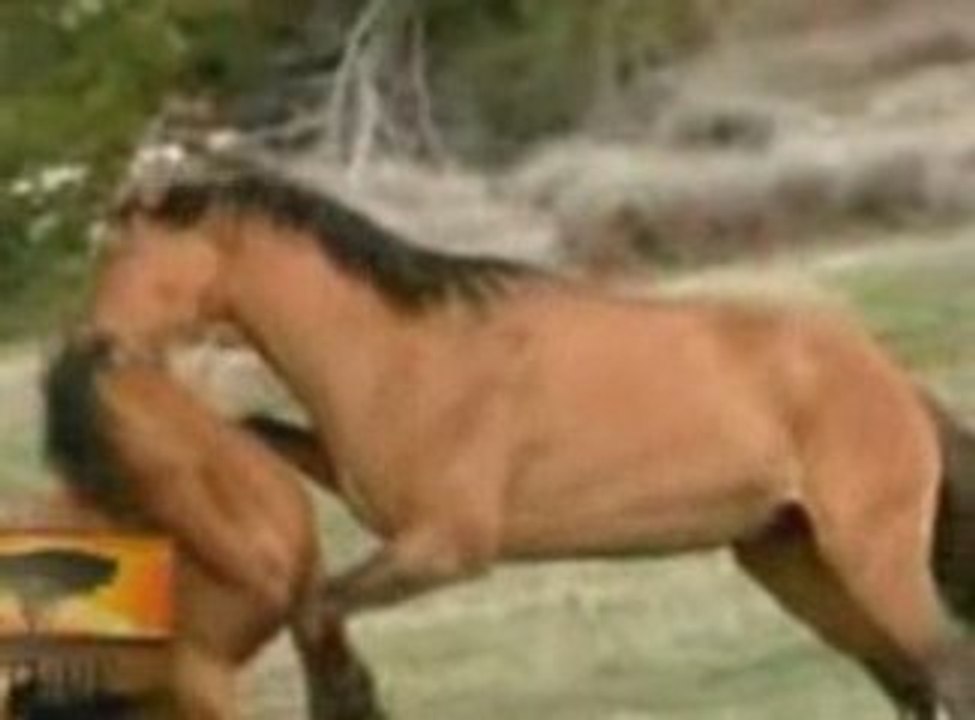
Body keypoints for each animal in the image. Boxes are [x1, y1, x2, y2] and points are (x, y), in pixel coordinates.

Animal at [80, 168, 975, 718]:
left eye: (128, 253)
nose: (93, 345)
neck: (397, 351)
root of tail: (889, 379)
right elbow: (268, 461)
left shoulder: (446, 547)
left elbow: (319, 606)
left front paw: (349, 698)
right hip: (793, 562)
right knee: (906, 678)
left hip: (869, 556)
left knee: (945, 664)